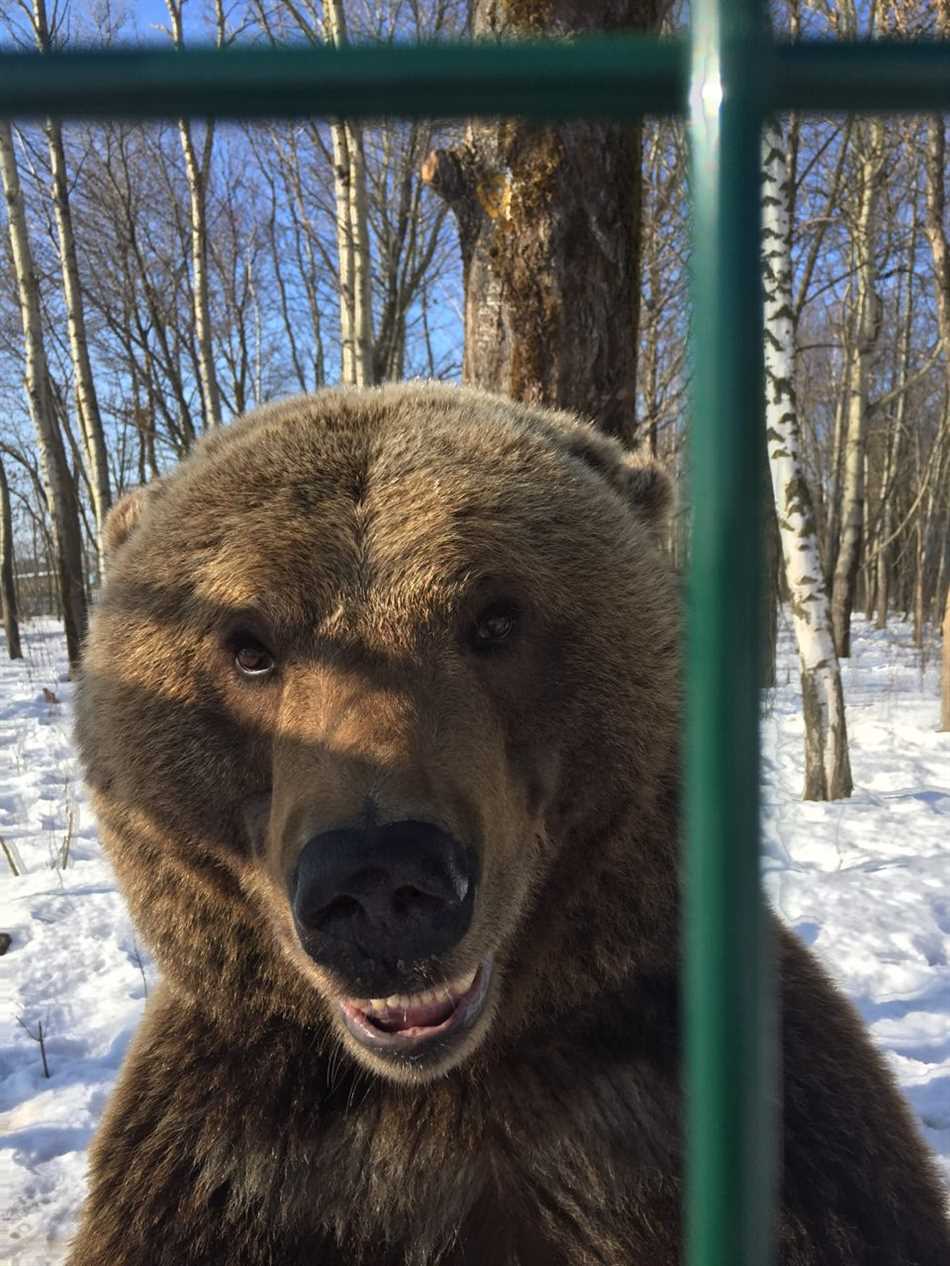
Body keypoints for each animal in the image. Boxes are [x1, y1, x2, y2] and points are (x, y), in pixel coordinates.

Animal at [70, 384, 947, 1266]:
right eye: (249, 645)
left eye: (494, 618)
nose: (379, 876)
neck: (444, 1090)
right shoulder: (221, 1175)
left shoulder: (787, 1160)